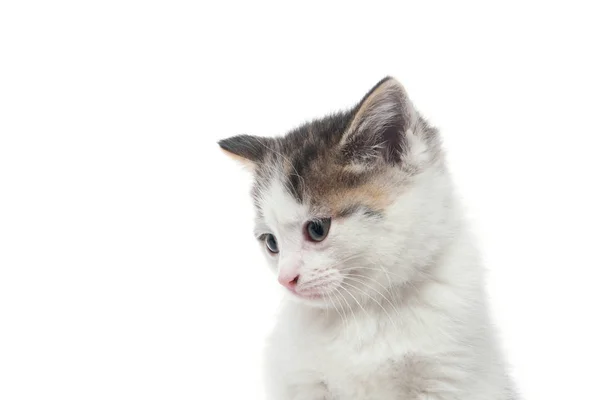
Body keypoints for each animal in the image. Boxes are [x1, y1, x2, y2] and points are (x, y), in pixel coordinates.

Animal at [218, 78, 516, 400]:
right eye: (271, 243)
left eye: (317, 229)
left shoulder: (454, 376)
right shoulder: (300, 381)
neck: (364, 310)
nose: (286, 279)